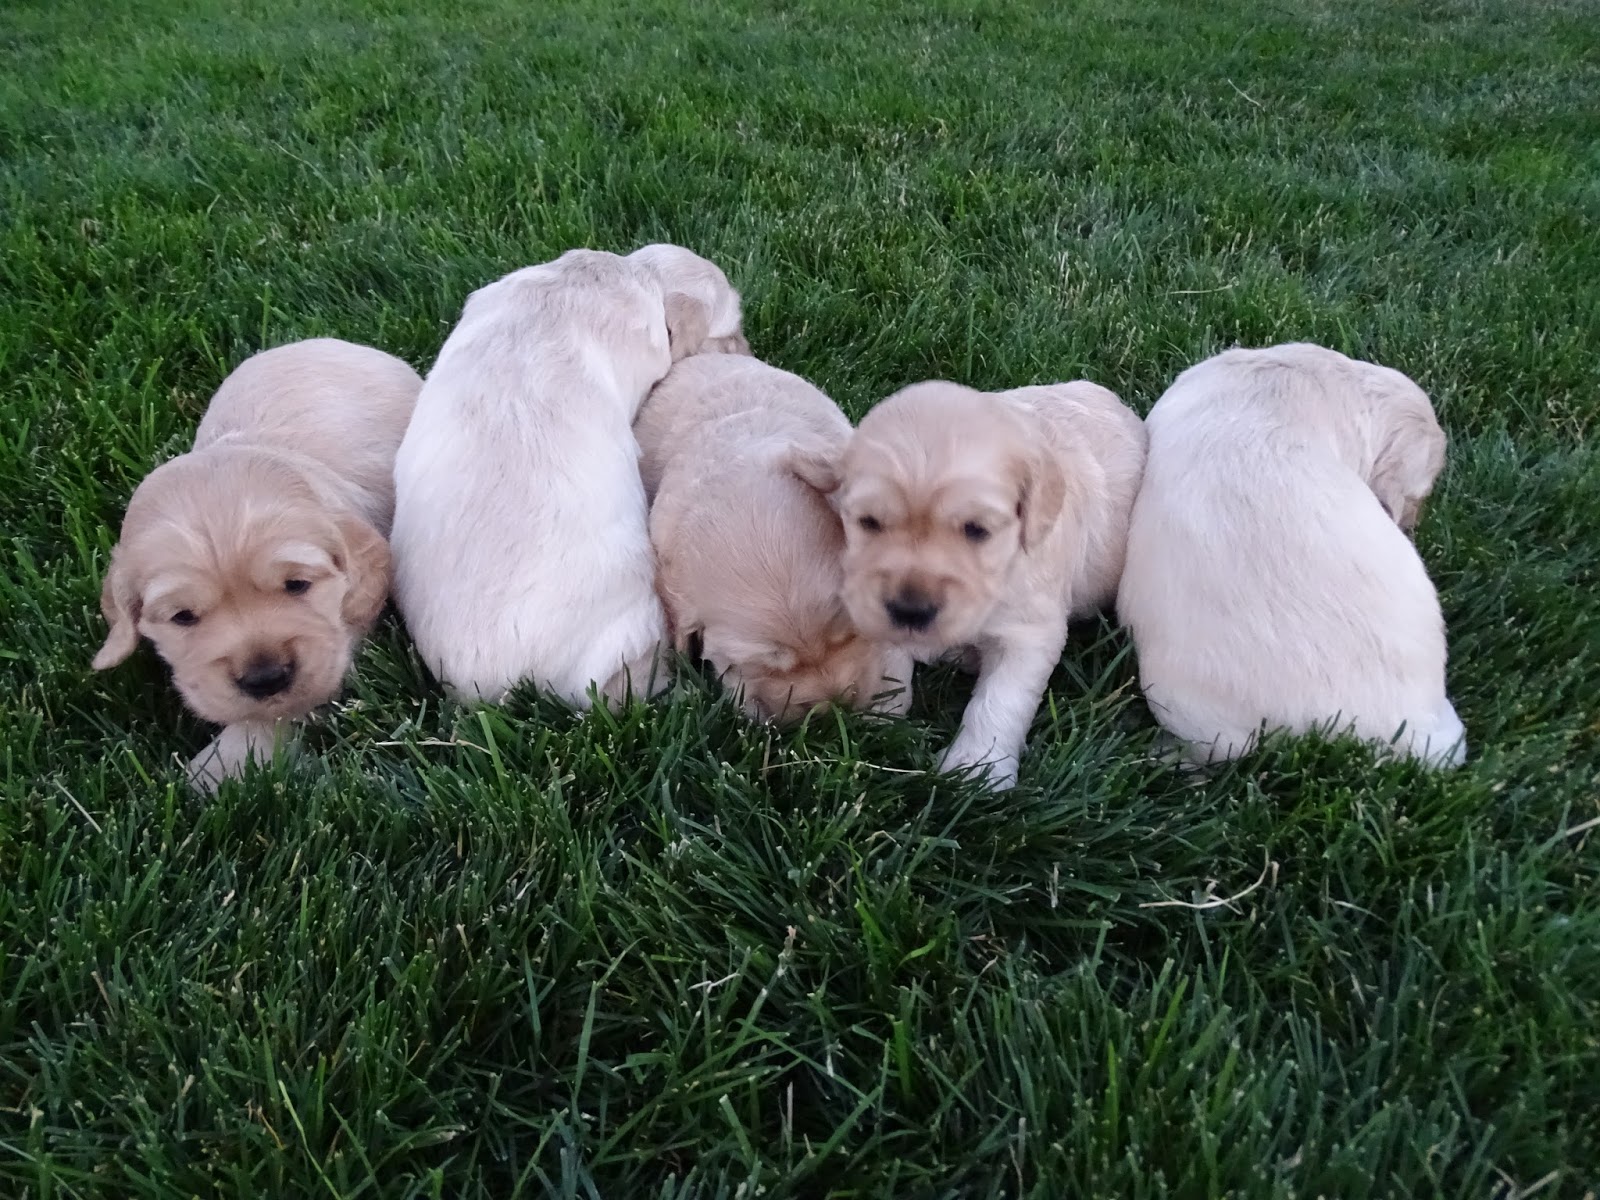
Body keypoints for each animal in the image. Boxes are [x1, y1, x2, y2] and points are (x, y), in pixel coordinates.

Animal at [812, 382, 1152, 790]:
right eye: (869, 522)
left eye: (976, 530)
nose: (911, 610)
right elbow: (890, 659)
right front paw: (878, 718)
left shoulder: (1028, 633)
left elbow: (999, 699)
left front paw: (977, 769)